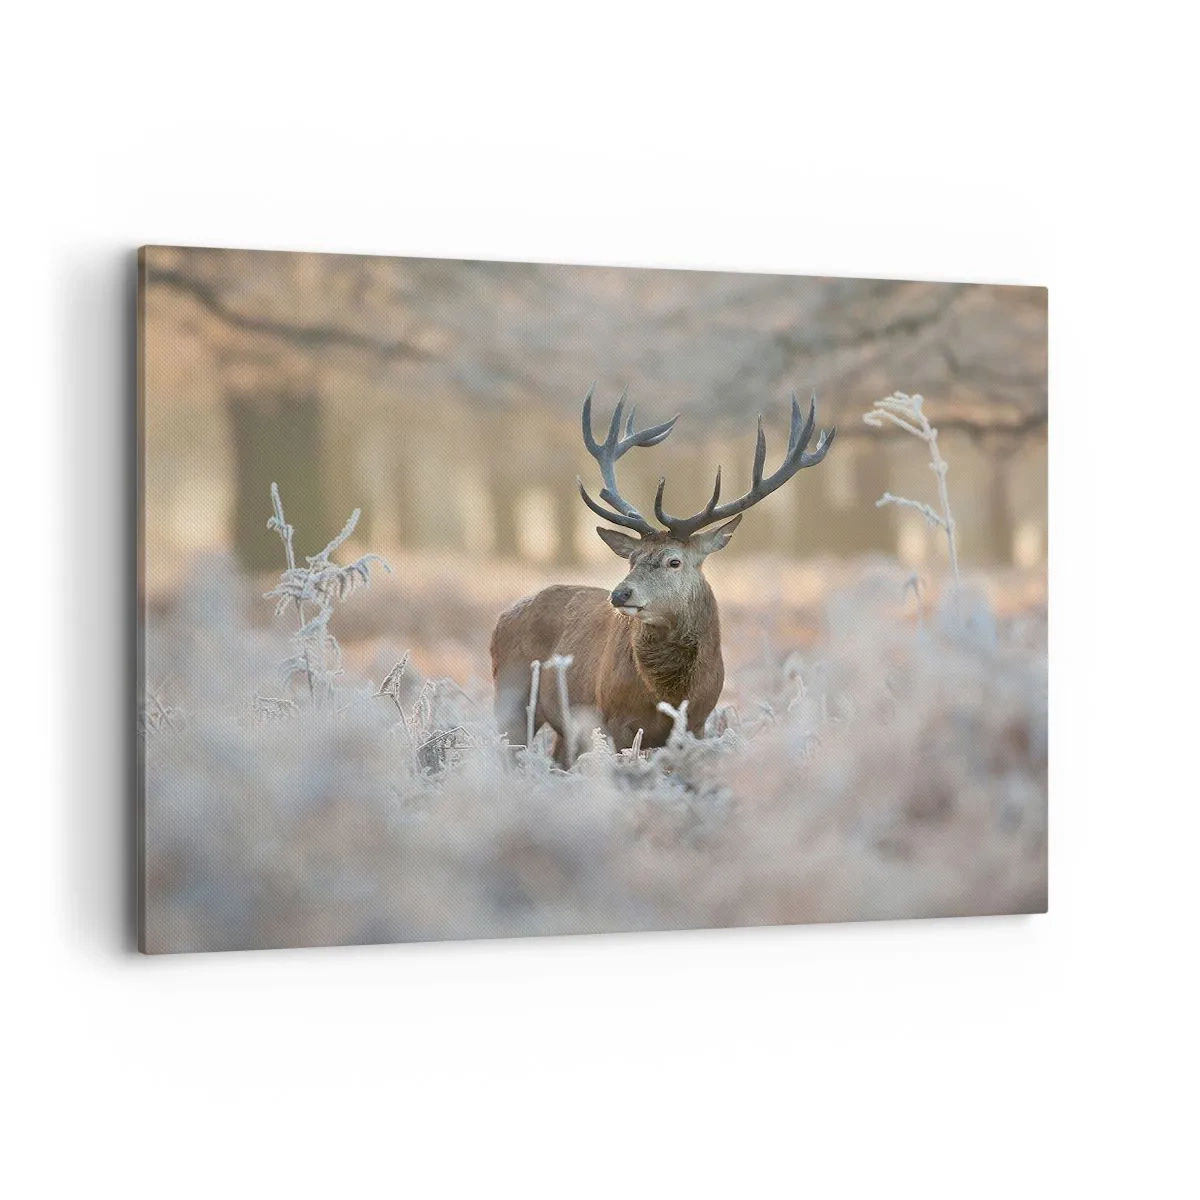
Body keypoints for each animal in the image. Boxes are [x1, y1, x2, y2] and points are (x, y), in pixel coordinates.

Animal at [490, 388, 835, 766]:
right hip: (510, 696)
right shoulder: (612, 720)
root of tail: (503, 617)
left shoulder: (698, 722)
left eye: (674, 561)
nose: (620, 594)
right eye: (632, 559)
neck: (668, 693)